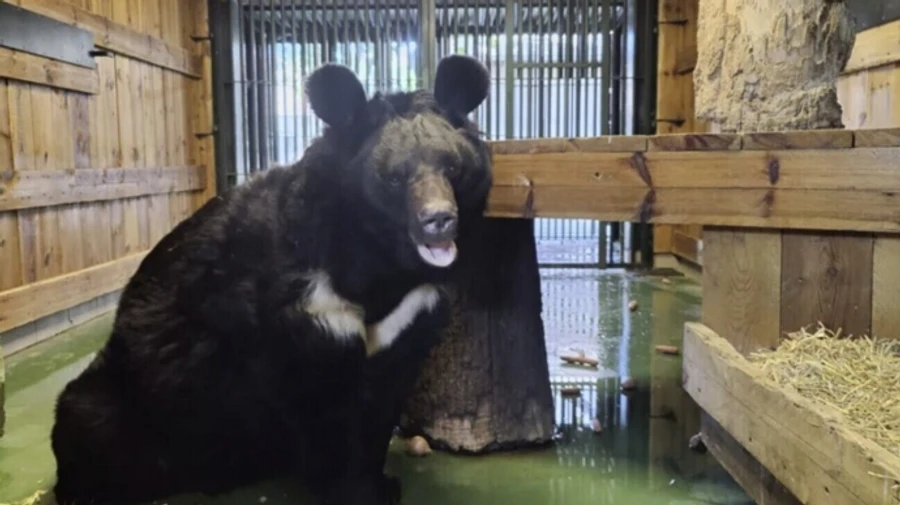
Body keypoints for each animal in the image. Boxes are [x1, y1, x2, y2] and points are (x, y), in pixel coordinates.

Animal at [49, 53, 493, 505]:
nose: (438, 220)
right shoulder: (299, 314)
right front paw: (350, 488)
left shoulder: (407, 314)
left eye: (453, 167)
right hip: (126, 396)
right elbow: (319, 406)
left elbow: (383, 395)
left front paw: (379, 482)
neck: (375, 259)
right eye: (393, 177)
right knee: (88, 424)